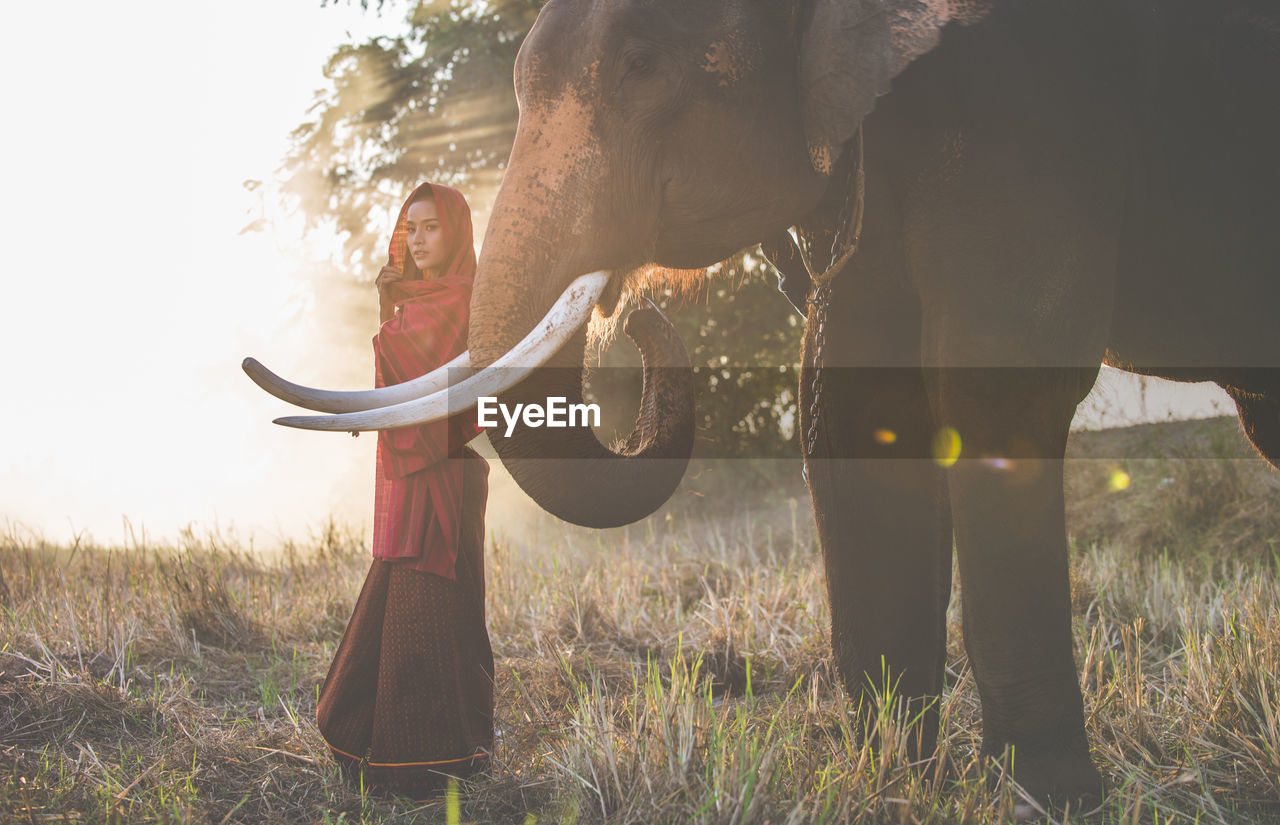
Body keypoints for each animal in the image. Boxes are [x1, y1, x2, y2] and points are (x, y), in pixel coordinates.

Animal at [249, 0, 1280, 808]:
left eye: (641, 65)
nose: (638, 310)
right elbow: (858, 406)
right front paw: (892, 776)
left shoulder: (1034, 101)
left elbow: (997, 390)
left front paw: (1047, 800)